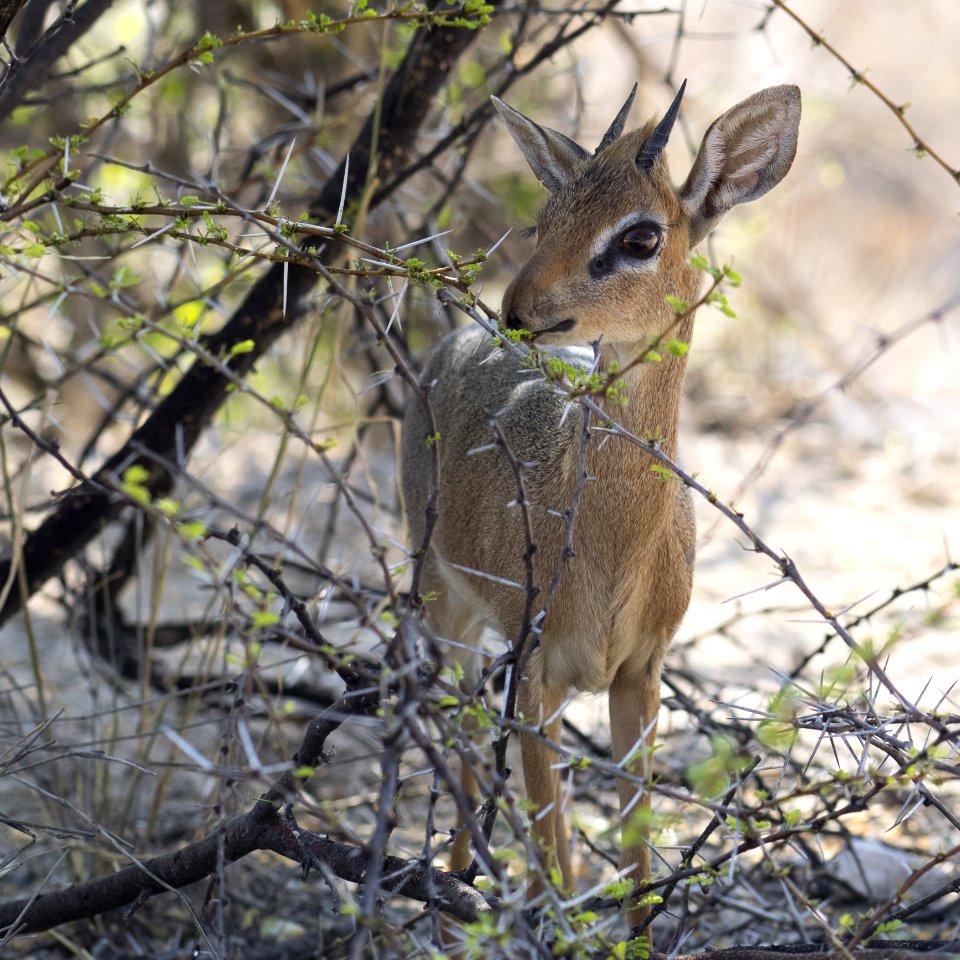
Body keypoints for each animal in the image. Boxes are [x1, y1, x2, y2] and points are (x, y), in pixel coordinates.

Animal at [402, 84, 800, 928]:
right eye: (547, 216)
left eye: (640, 235)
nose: (519, 308)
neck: (614, 549)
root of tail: (448, 346)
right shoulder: (535, 670)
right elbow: (553, 848)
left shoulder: (639, 675)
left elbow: (638, 858)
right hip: (445, 606)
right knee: (460, 733)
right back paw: (453, 889)